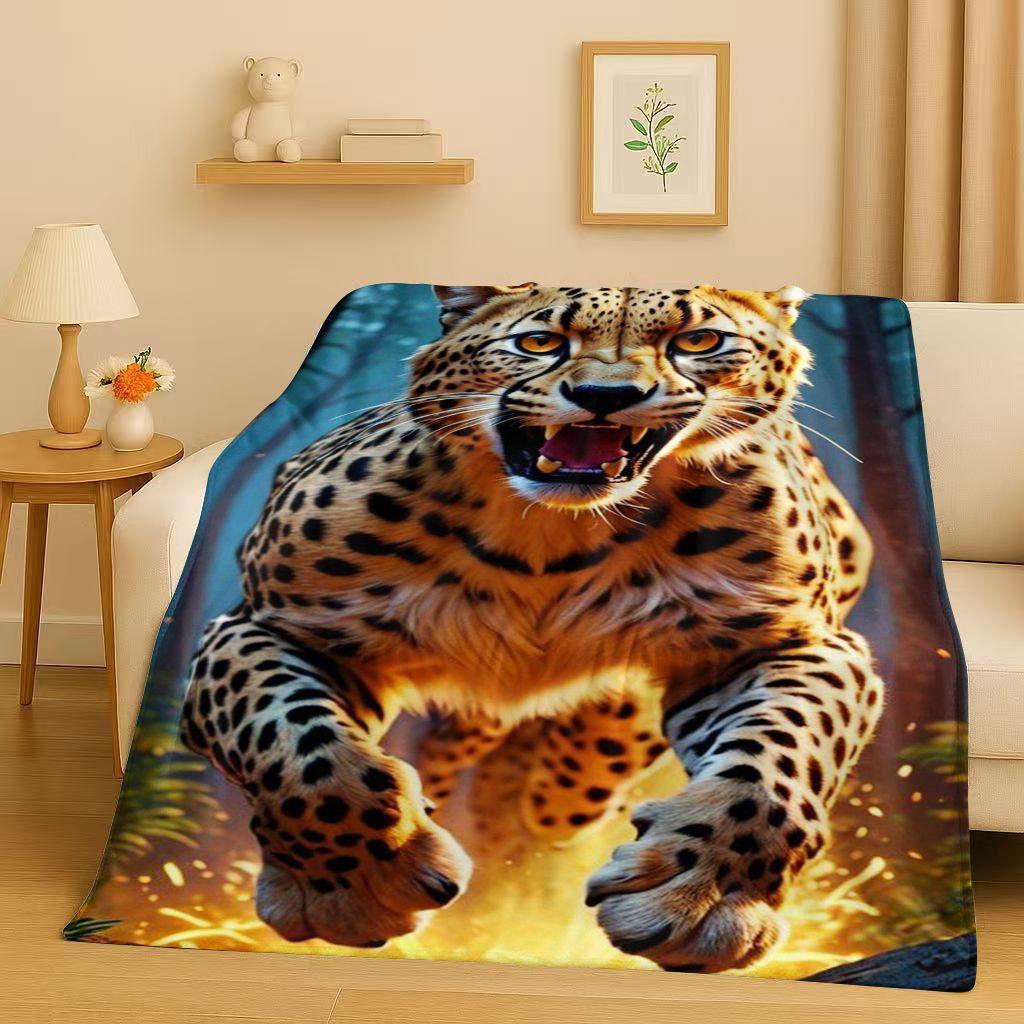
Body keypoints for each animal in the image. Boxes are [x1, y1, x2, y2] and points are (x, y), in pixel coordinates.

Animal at [180, 283, 884, 972]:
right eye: (540, 342)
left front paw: (700, 895)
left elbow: (775, 764)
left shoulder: (788, 645)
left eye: (700, 340)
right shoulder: (270, 626)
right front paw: (350, 887)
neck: (550, 539)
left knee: (573, 782)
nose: (607, 396)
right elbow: (300, 749)